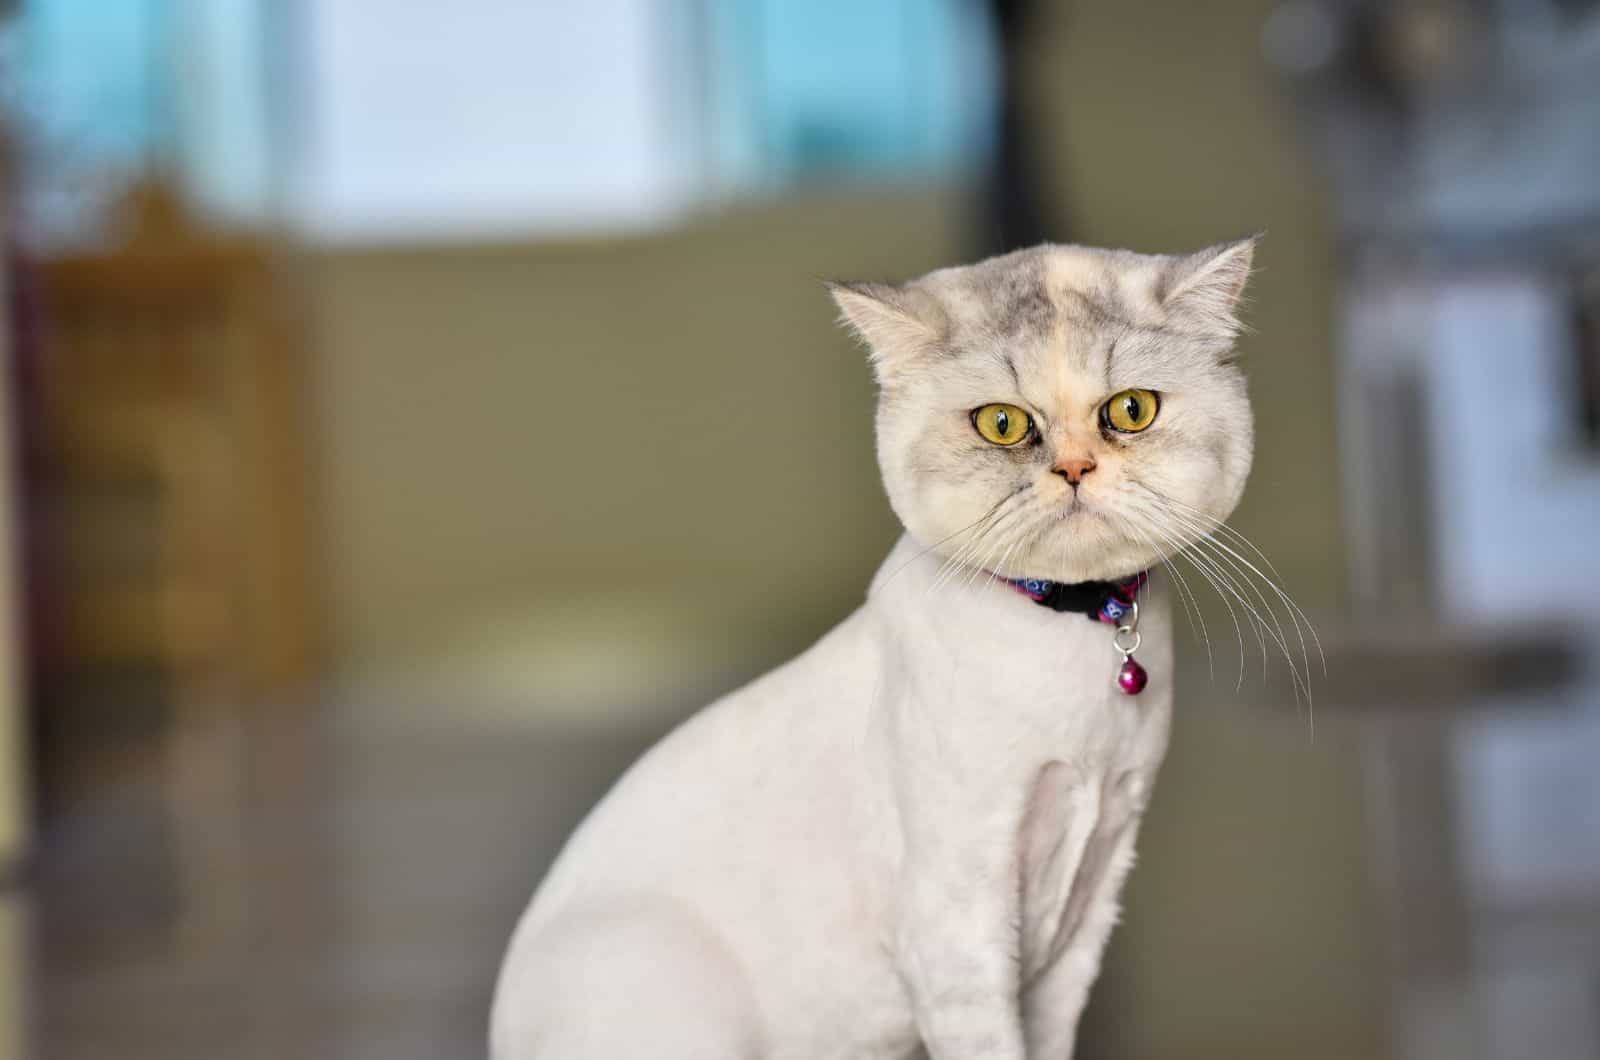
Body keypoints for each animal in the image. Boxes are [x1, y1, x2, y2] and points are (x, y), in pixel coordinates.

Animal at [492, 238, 1254, 1060]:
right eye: (1002, 424)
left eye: (1131, 411)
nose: (1075, 469)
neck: (1072, 639)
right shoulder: (960, 922)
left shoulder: (1092, 896)